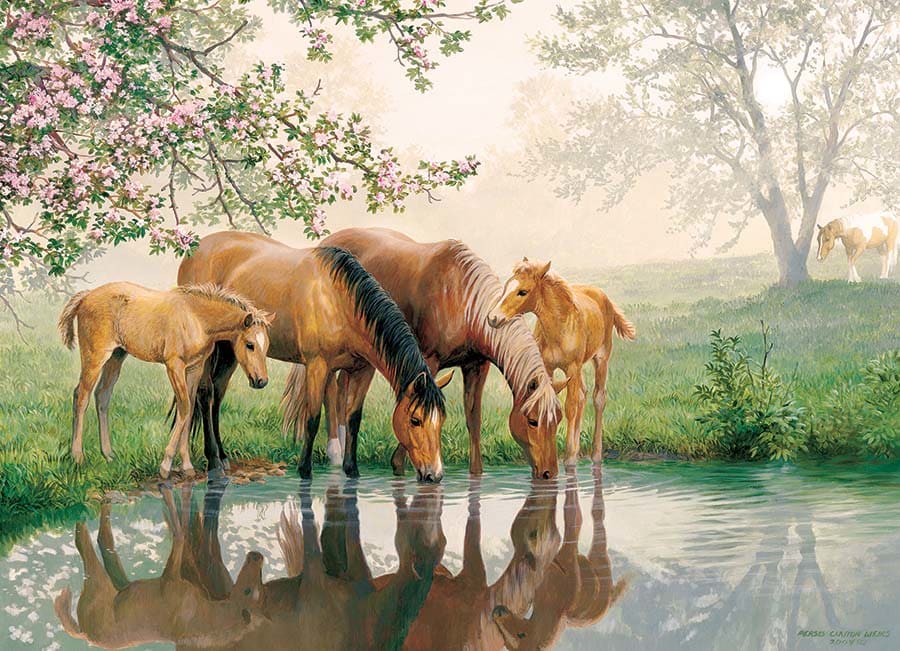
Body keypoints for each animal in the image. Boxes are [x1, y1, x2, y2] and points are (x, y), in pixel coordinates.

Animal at [57, 282, 272, 478]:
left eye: (267, 346)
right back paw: (77, 457)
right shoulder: (174, 366)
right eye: (250, 344)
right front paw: (166, 465)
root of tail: (85, 296)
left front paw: (186, 466)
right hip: (95, 357)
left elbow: (190, 408)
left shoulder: (194, 368)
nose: (261, 381)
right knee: (81, 396)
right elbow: (184, 408)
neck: (196, 318)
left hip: (116, 356)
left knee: (102, 396)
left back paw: (108, 455)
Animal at [177, 231, 453, 482]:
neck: (338, 301)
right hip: (210, 350)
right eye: (415, 420)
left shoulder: (363, 370)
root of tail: (195, 249)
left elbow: (353, 419)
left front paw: (351, 470)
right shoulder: (317, 366)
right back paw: (214, 462)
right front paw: (305, 471)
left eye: (441, 420)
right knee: (205, 394)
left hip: (230, 350)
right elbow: (312, 418)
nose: (435, 474)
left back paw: (223, 458)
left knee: (217, 395)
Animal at [286, 227, 564, 480]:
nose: (549, 473)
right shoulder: (428, 360)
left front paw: (476, 473)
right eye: (532, 420)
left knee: (344, 388)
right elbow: (417, 404)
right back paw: (334, 451)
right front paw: (400, 464)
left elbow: (473, 418)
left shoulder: (476, 366)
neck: (462, 299)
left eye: (558, 420)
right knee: (331, 390)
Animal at [488, 259, 635, 465]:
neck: (559, 328)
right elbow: (548, 402)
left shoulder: (572, 367)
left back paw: (596, 455)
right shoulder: (548, 368)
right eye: (506, 287)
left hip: (600, 359)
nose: (493, 318)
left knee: (598, 398)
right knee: (582, 394)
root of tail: (604, 297)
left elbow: (570, 407)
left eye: (523, 292)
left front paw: (569, 459)